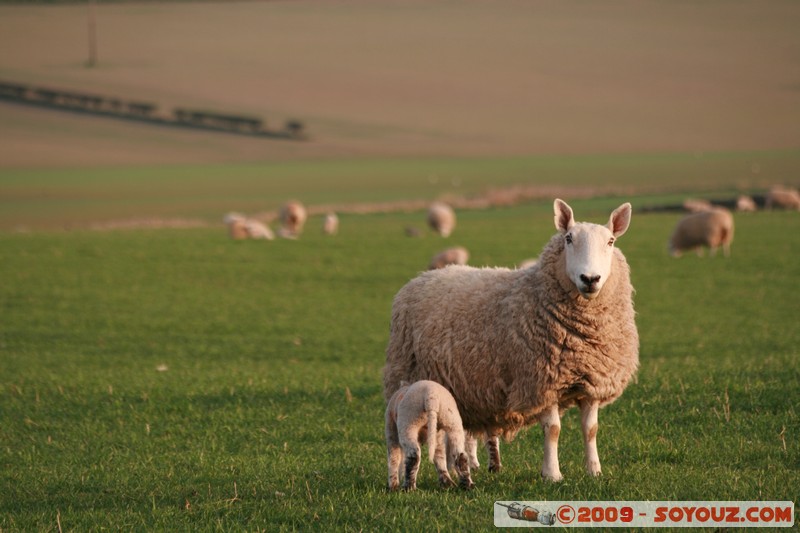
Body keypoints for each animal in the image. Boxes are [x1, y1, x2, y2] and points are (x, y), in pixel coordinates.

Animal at [384, 197, 640, 480]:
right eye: (568, 239)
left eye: (611, 241)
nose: (590, 278)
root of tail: (422, 277)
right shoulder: (541, 381)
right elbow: (553, 430)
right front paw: (552, 474)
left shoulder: (593, 381)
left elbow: (591, 429)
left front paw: (594, 470)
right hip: (409, 378)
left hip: (463, 387)